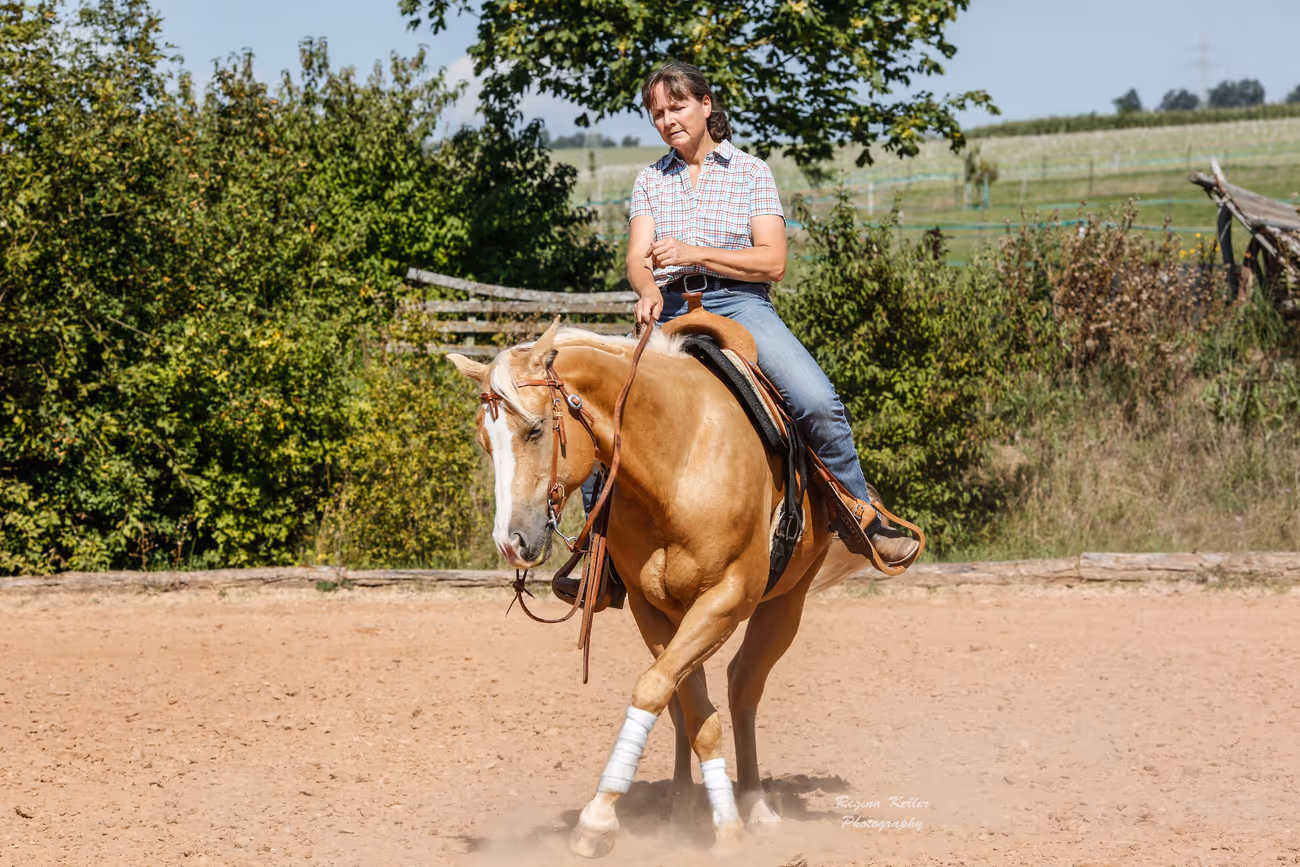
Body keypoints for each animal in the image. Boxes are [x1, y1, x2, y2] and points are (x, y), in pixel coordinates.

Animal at [448, 316, 839, 857]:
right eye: (487, 442)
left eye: (535, 429)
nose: (511, 542)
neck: (679, 460)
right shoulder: (650, 608)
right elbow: (690, 709)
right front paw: (698, 818)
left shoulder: (727, 597)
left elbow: (659, 690)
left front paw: (605, 818)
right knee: (690, 702)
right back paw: (682, 810)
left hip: (785, 605)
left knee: (743, 687)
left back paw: (757, 806)